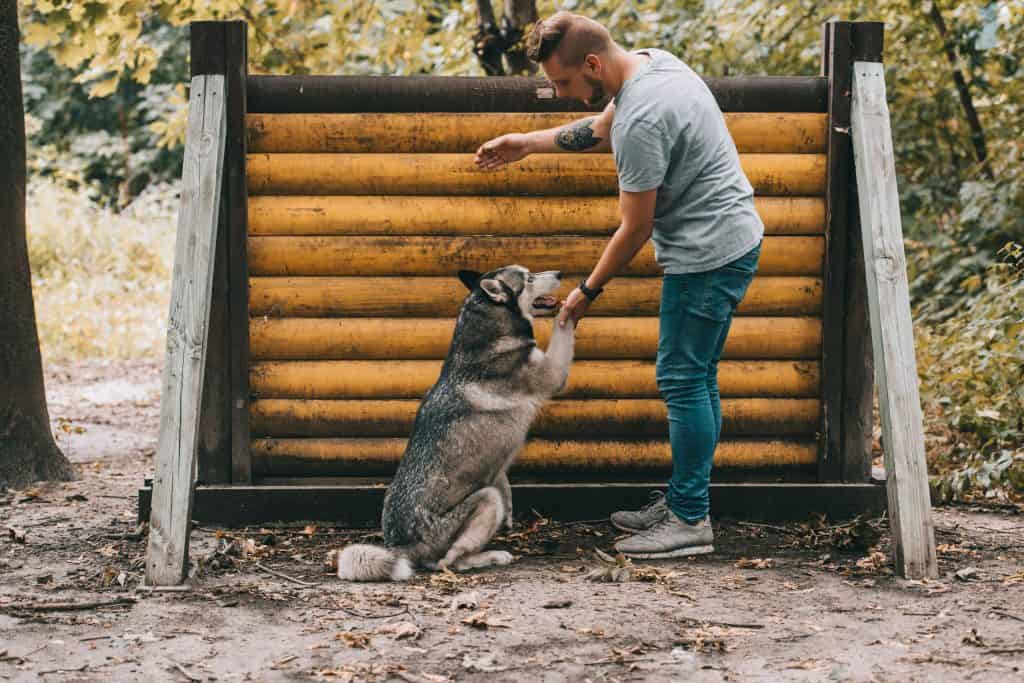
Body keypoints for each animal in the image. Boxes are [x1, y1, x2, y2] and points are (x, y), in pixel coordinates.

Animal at [335, 264, 577, 581]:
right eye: (529, 278)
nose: (560, 273)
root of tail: (401, 547)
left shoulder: (496, 470)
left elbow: (503, 479)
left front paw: (511, 510)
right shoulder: (553, 372)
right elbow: (564, 327)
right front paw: (573, 307)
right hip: (486, 501)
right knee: (449, 561)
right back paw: (490, 556)